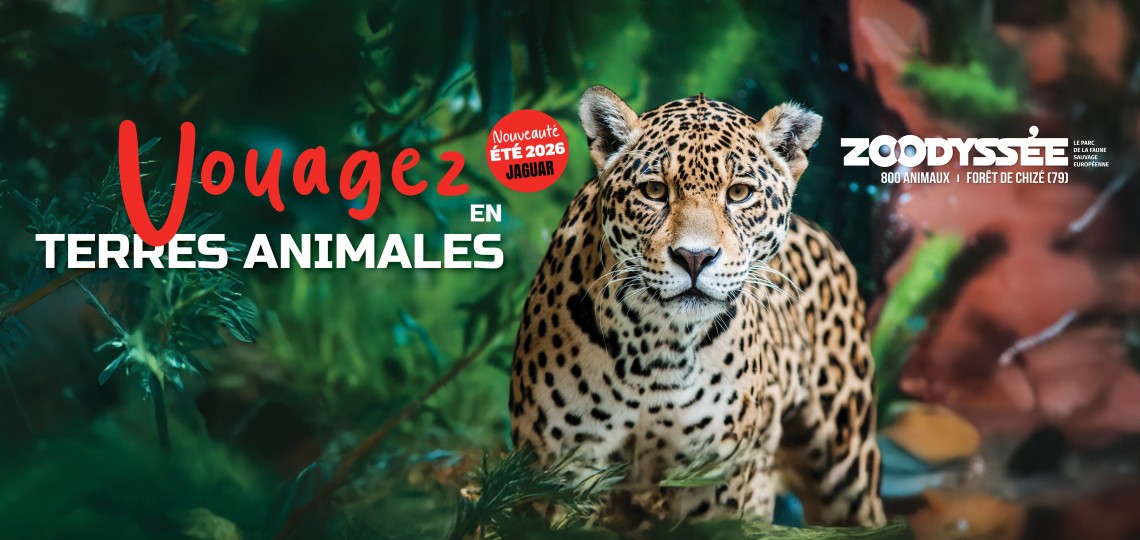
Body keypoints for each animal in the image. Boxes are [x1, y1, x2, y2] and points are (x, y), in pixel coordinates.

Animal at [509, 86, 885, 528]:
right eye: (655, 191)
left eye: (739, 193)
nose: (694, 257)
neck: (655, 345)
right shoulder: (565, 467)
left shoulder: (713, 477)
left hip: (847, 463)